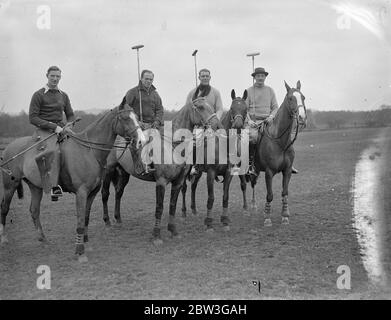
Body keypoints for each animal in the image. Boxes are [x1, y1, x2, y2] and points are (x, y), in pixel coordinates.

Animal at [0, 104, 144, 262]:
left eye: (137, 117)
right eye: (125, 118)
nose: (141, 140)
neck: (89, 151)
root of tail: (9, 147)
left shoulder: (92, 193)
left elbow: (85, 218)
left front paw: (85, 241)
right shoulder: (81, 193)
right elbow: (80, 221)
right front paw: (80, 251)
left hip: (35, 187)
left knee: (34, 210)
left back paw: (43, 239)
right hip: (10, 186)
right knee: (4, 208)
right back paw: (4, 238)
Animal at [101, 96, 224, 244]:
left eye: (211, 106)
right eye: (200, 107)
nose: (218, 126)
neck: (172, 146)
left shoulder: (178, 182)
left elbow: (172, 205)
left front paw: (173, 230)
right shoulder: (161, 182)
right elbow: (159, 207)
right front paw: (156, 235)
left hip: (124, 173)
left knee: (119, 192)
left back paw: (118, 219)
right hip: (108, 170)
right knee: (105, 194)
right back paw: (107, 221)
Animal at [182, 89, 250, 231]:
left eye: (245, 109)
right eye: (232, 108)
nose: (238, 125)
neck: (223, 145)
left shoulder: (228, 173)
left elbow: (225, 196)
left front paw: (225, 220)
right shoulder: (211, 173)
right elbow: (211, 198)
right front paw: (209, 223)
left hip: (198, 172)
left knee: (193, 186)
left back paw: (194, 209)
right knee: (184, 187)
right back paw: (184, 212)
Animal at [253, 79, 308, 225]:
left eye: (303, 97)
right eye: (290, 98)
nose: (302, 118)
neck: (280, 142)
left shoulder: (287, 171)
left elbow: (284, 192)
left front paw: (285, 215)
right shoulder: (269, 172)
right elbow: (270, 195)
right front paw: (267, 218)